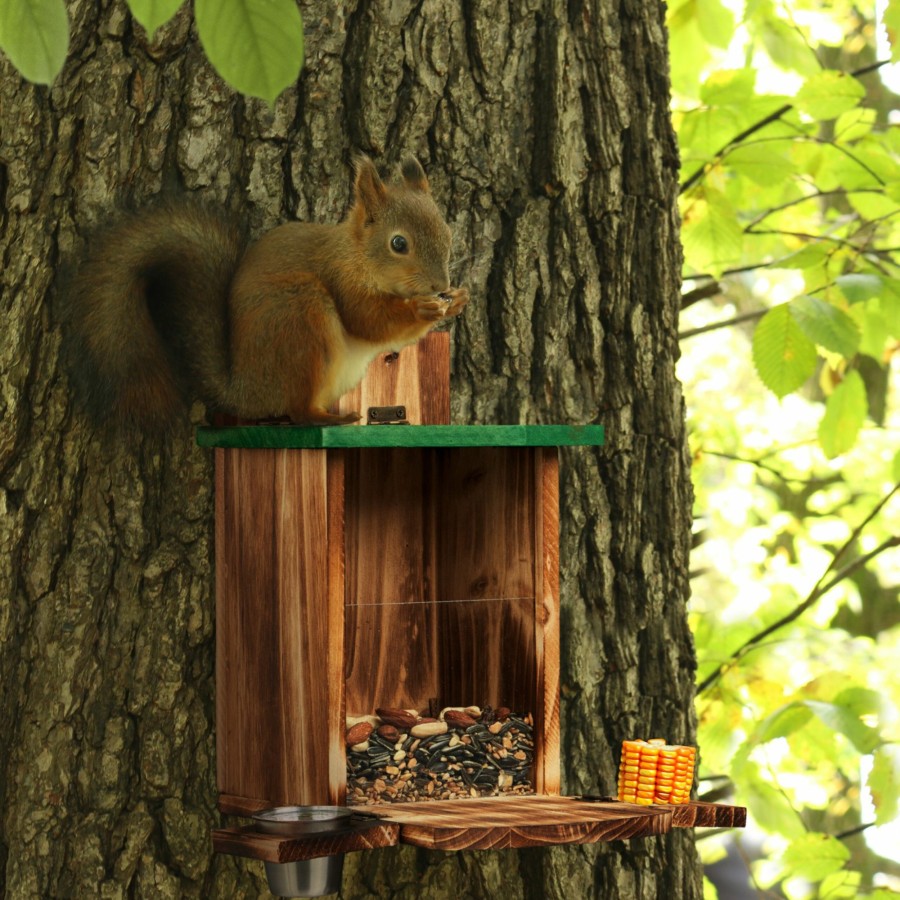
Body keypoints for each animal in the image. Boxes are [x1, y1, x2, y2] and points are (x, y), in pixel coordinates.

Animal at [67, 156, 468, 428]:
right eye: (398, 243)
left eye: (448, 232)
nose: (440, 286)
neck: (355, 254)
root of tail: (245, 391)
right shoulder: (341, 279)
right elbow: (369, 321)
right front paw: (423, 310)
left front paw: (457, 301)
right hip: (300, 318)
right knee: (297, 411)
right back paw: (330, 419)